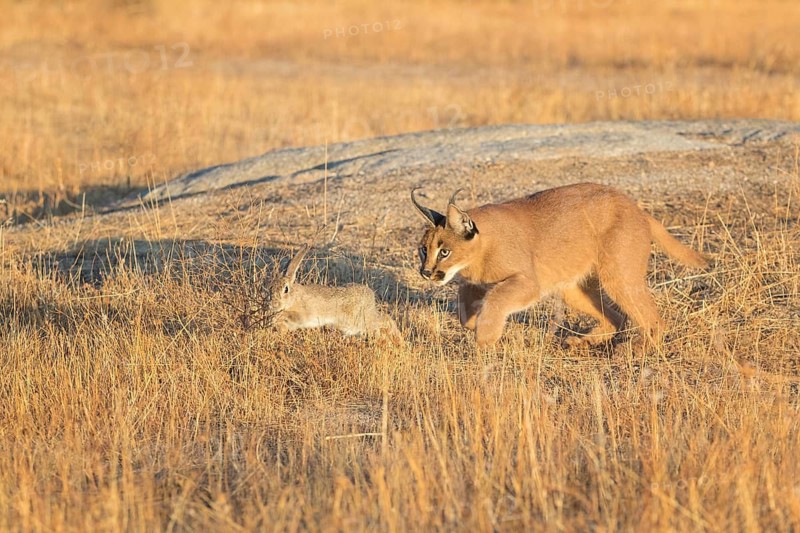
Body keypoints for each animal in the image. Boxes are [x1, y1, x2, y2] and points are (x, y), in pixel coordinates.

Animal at [264, 246, 400, 339]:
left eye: (286, 289)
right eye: (269, 287)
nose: (273, 305)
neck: (295, 297)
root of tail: (371, 297)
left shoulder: (303, 315)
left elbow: (291, 316)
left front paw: (276, 318)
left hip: (362, 320)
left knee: (385, 320)